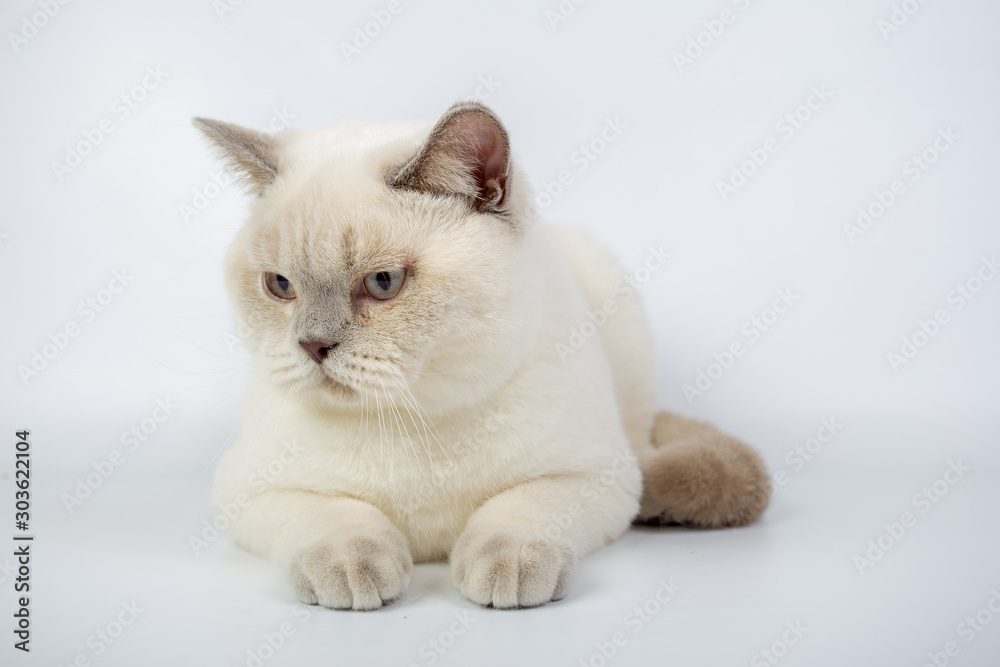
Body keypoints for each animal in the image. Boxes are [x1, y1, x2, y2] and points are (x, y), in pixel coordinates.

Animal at [197, 103, 772, 612]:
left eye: (383, 283)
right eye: (280, 286)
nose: (312, 346)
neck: (415, 418)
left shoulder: (588, 478)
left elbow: (516, 516)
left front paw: (505, 571)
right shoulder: (252, 490)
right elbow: (336, 519)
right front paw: (359, 570)